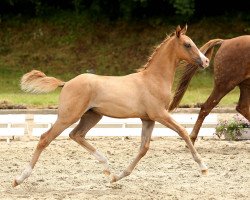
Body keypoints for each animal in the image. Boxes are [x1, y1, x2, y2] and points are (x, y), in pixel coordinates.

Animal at [13, 25, 211, 188]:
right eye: (187, 44)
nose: (206, 61)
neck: (153, 80)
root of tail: (66, 83)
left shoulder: (148, 119)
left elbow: (144, 148)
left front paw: (118, 176)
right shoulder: (160, 114)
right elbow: (183, 132)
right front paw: (203, 167)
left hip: (92, 116)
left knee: (76, 135)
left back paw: (108, 168)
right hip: (68, 116)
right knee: (45, 138)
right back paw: (19, 179)